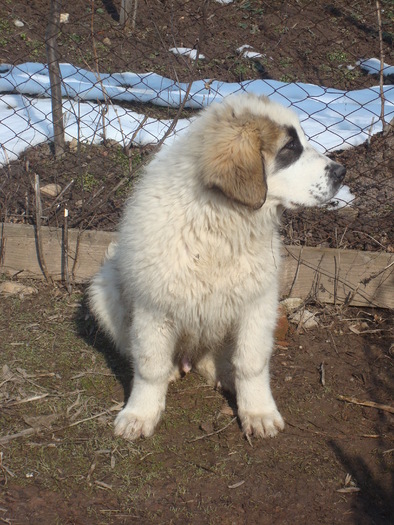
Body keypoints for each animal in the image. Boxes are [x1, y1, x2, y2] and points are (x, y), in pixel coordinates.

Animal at [88, 93, 344, 438]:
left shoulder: (257, 302)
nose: (342, 172)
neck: (219, 222)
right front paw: (140, 413)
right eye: (290, 148)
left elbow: (251, 363)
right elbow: (150, 366)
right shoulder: (153, 307)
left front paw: (258, 410)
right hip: (104, 289)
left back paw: (222, 372)